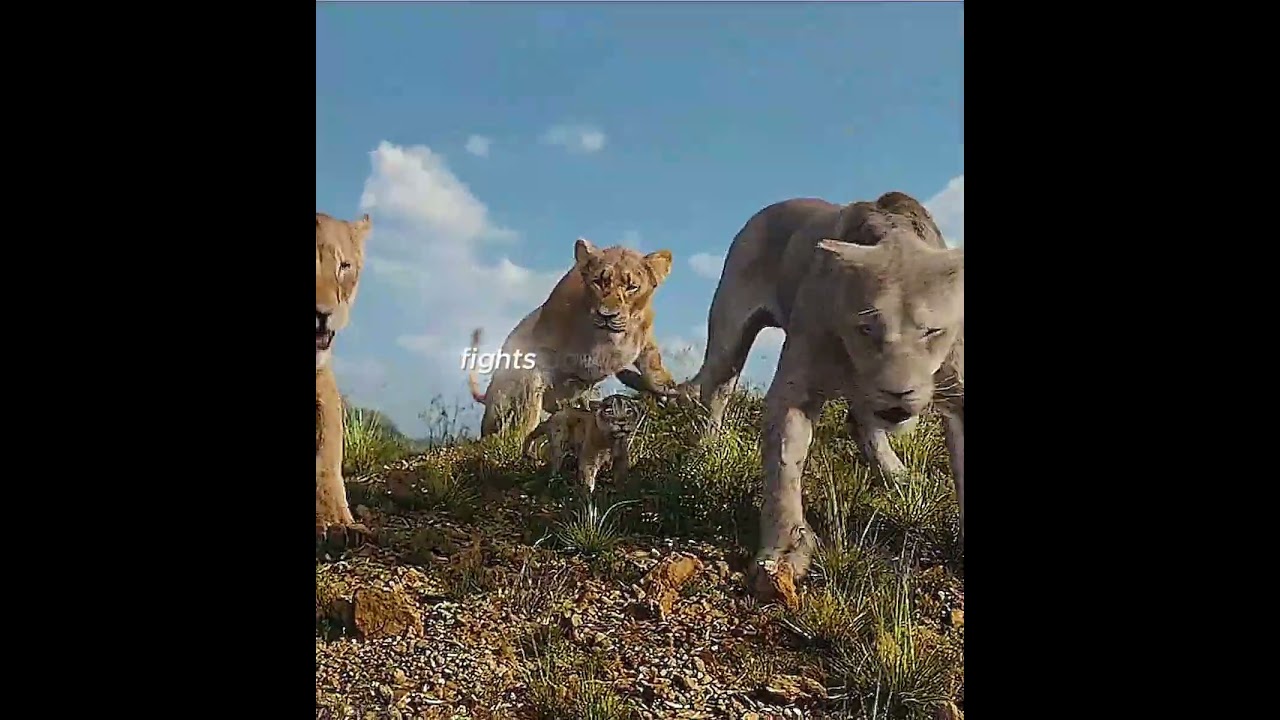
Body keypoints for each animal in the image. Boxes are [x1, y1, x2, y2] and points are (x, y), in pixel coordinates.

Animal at [469, 238, 679, 438]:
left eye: (632, 287)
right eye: (598, 282)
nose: (607, 315)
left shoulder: (645, 338)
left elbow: (654, 365)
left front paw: (668, 392)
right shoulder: (540, 351)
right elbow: (530, 408)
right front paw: (523, 437)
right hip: (499, 402)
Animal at [678, 192, 964, 587]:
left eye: (931, 331)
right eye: (867, 328)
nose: (897, 392)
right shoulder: (796, 387)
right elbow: (784, 466)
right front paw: (782, 553)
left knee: (861, 423)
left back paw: (897, 476)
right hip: (728, 336)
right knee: (715, 392)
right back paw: (707, 450)